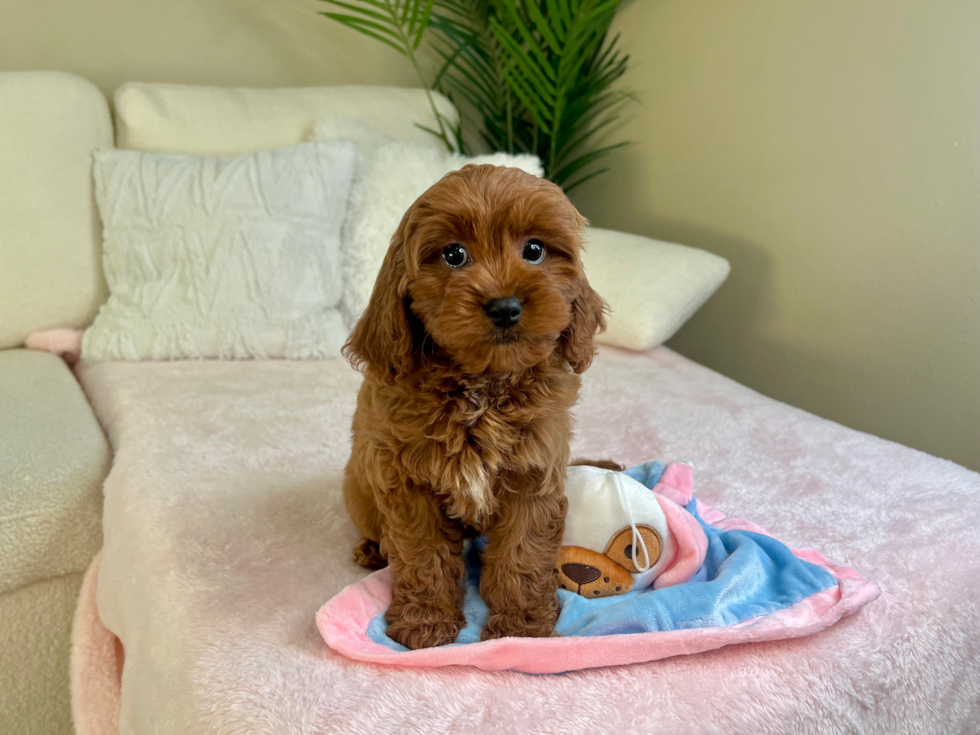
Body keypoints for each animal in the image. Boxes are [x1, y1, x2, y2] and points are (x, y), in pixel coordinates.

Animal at [342, 162, 604, 648]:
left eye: (534, 250)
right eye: (453, 255)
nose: (505, 306)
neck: (484, 387)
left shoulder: (533, 476)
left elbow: (522, 554)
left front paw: (521, 627)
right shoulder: (409, 484)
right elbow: (423, 554)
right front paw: (425, 619)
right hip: (360, 488)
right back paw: (372, 549)